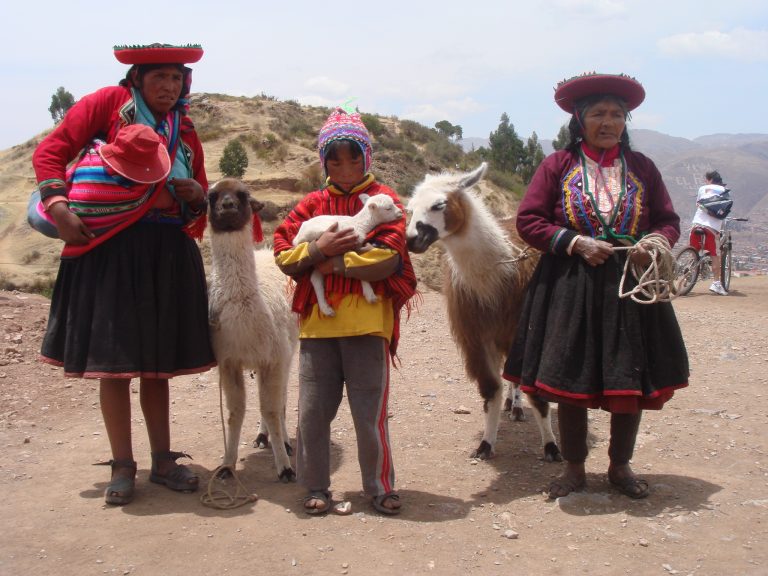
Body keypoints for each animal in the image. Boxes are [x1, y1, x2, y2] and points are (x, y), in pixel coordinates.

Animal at [207, 177, 300, 482]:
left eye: (243, 195)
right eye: (211, 196)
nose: (227, 206)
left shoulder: (274, 358)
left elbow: (271, 408)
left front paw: (285, 467)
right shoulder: (228, 361)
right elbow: (235, 412)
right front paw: (227, 465)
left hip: (288, 348)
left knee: (281, 397)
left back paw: (284, 440)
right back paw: (262, 436)